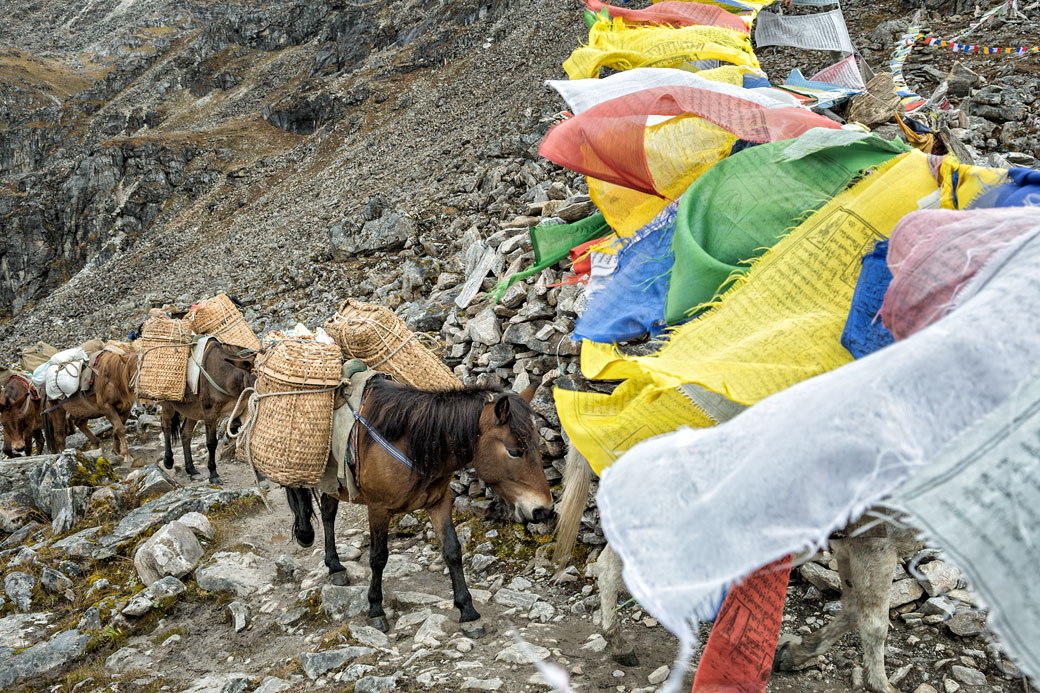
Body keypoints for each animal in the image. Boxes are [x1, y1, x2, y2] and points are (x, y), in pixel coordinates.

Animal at [158, 339, 255, 480]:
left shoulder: (243, 409)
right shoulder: (210, 413)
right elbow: (211, 443)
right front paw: (213, 474)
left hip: (193, 411)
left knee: (185, 433)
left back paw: (191, 469)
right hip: (167, 402)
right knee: (166, 426)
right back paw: (168, 461)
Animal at [284, 378, 557, 636]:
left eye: (538, 444)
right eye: (515, 451)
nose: (543, 509)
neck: (411, 444)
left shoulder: (439, 502)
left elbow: (452, 551)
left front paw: (467, 611)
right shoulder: (378, 509)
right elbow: (378, 557)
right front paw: (375, 609)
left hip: (334, 482)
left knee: (328, 511)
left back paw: (334, 566)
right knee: (301, 495)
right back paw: (307, 535)